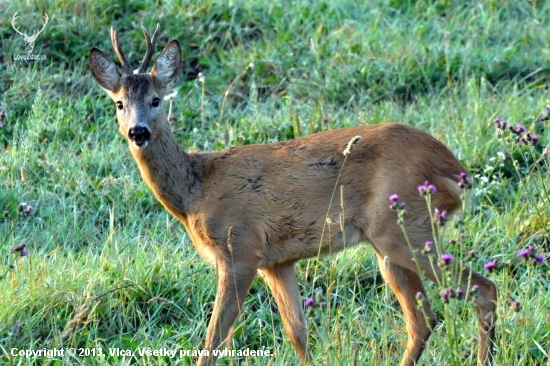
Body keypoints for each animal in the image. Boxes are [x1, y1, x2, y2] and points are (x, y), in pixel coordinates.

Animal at [90, 24, 500, 364]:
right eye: (119, 103)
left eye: (157, 100)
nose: (138, 132)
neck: (196, 192)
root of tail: (452, 167)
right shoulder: (277, 261)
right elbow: (297, 332)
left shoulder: (240, 250)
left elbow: (213, 341)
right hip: (391, 244)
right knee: (424, 318)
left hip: (403, 231)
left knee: (481, 289)